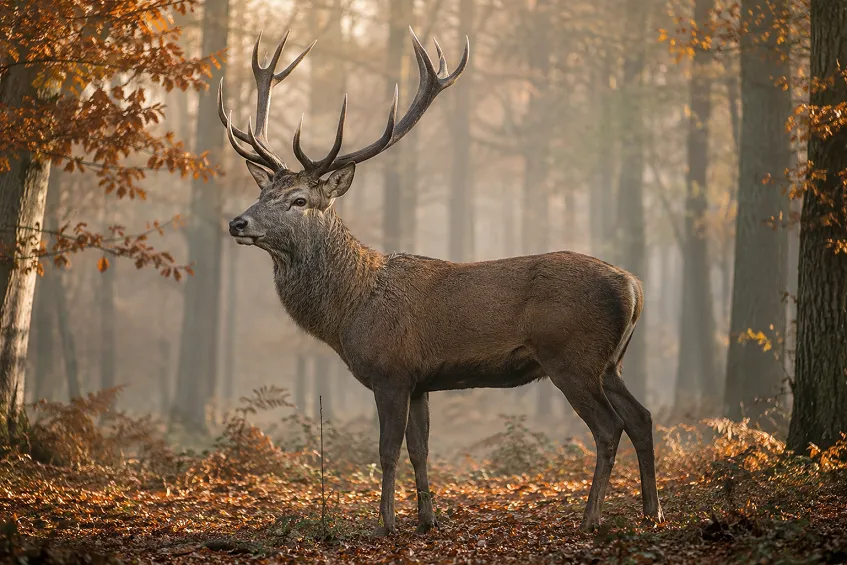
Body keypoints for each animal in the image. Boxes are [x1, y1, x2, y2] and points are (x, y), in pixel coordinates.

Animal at [218, 28, 664, 536]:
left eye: (298, 200)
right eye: (262, 191)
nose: (238, 222)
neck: (350, 309)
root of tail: (633, 286)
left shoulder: (390, 371)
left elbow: (386, 451)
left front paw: (386, 523)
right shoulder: (421, 380)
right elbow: (421, 449)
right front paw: (426, 519)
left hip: (572, 356)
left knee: (609, 427)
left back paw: (591, 517)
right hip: (611, 362)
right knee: (642, 417)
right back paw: (651, 510)